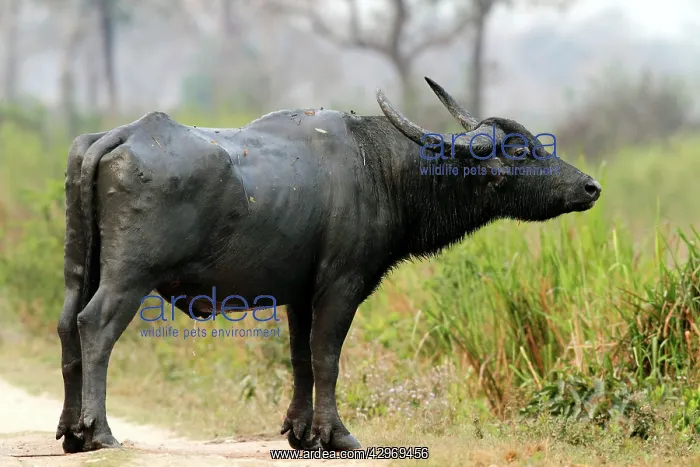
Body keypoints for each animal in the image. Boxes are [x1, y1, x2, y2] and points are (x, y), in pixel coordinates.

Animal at [56, 77, 601, 453]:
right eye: (523, 151)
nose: (590, 186)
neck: (381, 169)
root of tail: (121, 135)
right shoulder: (342, 285)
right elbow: (328, 357)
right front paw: (335, 434)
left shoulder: (299, 294)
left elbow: (300, 358)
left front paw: (299, 432)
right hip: (129, 278)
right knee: (95, 326)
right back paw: (99, 432)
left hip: (79, 270)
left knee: (66, 326)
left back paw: (70, 431)